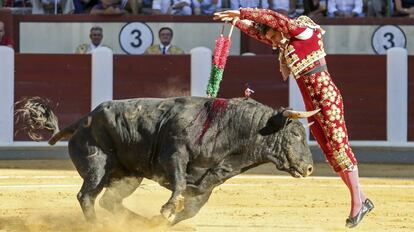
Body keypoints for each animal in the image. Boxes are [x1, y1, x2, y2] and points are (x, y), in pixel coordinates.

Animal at [13, 96, 316, 225]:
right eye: (296, 133)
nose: (310, 167)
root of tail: (81, 120)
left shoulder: (207, 183)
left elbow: (190, 209)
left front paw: (161, 220)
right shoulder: (175, 154)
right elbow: (179, 186)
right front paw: (166, 210)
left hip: (129, 176)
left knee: (110, 201)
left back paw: (138, 222)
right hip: (97, 166)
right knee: (86, 196)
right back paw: (96, 225)